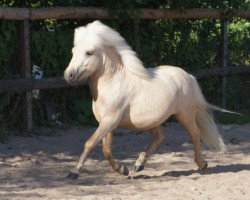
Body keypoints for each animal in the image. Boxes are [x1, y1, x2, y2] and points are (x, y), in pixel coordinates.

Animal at [63, 20, 226, 180]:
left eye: (89, 52)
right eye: (73, 51)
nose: (69, 75)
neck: (112, 82)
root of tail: (188, 76)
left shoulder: (109, 122)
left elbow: (89, 144)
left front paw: (74, 172)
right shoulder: (106, 123)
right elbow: (106, 150)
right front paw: (123, 170)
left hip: (184, 115)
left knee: (195, 134)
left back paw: (202, 163)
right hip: (152, 120)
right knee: (160, 137)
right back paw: (139, 165)